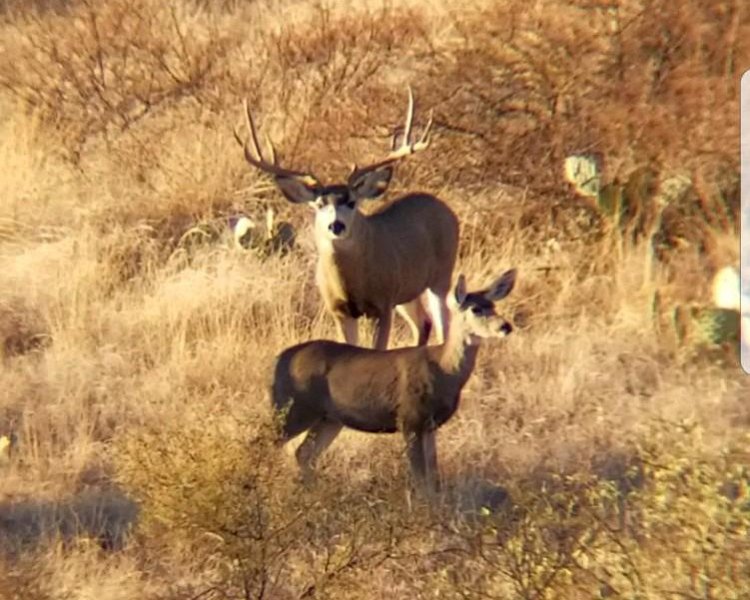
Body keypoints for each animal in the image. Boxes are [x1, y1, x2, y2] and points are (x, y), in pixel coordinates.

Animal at [235, 89, 462, 352]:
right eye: (319, 204)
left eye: (352, 202)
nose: (336, 225)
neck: (352, 284)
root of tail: (445, 208)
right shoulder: (340, 311)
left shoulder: (383, 304)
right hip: (408, 289)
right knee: (423, 323)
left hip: (441, 275)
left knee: (443, 327)